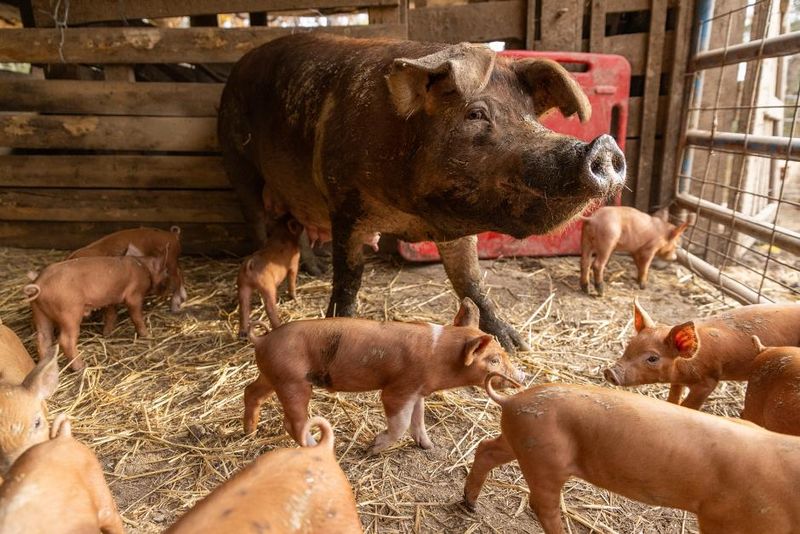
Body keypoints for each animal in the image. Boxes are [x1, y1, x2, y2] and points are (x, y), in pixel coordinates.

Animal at [24, 250, 168, 372]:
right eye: (165, 272)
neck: (143, 266)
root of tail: (40, 284)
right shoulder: (134, 295)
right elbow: (136, 315)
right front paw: (147, 335)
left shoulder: (111, 299)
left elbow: (111, 314)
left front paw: (107, 334)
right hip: (69, 312)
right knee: (65, 340)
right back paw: (81, 367)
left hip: (39, 312)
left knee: (43, 339)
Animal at [219, 33, 626, 352]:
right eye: (476, 114)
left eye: (531, 117)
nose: (603, 147)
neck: (413, 214)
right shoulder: (346, 205)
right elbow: (349, 278)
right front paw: (336, 324)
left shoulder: (458, 228)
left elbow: (471, 281)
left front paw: (516, 343)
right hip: (237, 162)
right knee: (257, 219)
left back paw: (312, 270)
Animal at [243, 297, 523, 454]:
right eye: (494, 360)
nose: (521, 375)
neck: (439, 355)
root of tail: (262, 340)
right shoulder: (399, 389)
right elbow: (400, 423)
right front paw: (371, 449)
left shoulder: (418, 392)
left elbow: (418, 420)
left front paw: (428, 446)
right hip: (293, 382)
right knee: (294, 422)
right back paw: (319, 449)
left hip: (273, 375)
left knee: (251, 392)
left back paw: (250, 432)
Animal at [463, 375, 800, 534]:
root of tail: (512, 400)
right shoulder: (728, 517)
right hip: (546, 458)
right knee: (542, 504)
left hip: (520, 440)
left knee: (486, 449)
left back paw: (469, 505)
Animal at [604, 298, 800, 409]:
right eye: (630, 345)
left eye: (652, 358)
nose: (609, 372)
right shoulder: (678, 380)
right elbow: (673, 397)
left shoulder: (709, 381)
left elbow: (689, 405)